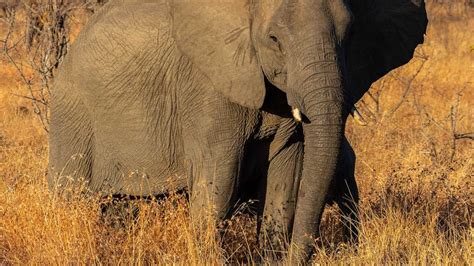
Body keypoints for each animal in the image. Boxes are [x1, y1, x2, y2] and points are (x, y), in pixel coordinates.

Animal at [49, 0, 430, 262]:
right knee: (72, 197)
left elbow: (286, 176)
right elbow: (219, 178)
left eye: (350, 36)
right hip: (72, 114)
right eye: (274, 39)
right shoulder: (207, 86)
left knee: (120, 204)